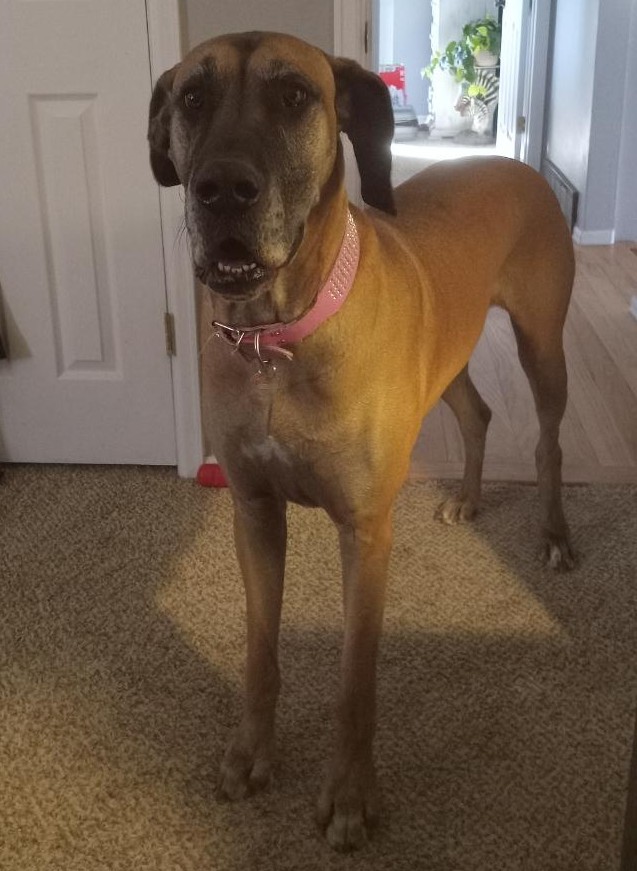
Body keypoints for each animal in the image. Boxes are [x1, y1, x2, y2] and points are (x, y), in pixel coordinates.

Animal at [148, 31, 576, 850]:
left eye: (294, 96)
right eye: (192, 97)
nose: (222, 191)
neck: (277, 336)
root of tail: (516, 165)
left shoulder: (366, 531)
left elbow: (355, 681)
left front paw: (349, 795)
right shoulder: (254, 512)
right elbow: (260, 650)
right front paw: (250, 753)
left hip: (542, 343)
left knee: (547, 443)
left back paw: (555, 536)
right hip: (449, 350)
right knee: (477, 414)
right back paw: (468, 499)